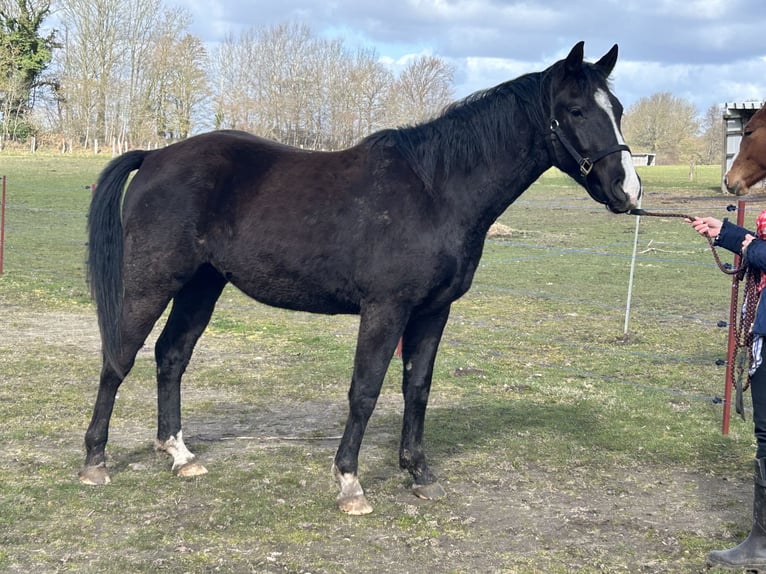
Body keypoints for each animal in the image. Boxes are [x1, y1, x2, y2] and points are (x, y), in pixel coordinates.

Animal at [80, 41, 642, 515]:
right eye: (576, 110)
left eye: (616, 110)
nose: (628, 190)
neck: (435, 191)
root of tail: (156, 156)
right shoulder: (385, 309)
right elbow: (365, 390)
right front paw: (350, 483)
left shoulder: (433, 311)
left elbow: (417, 387)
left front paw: (419, 473)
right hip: (152, 283)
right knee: (119, 357)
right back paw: (95, 462)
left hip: (202, 285)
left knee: (171, 356)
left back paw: (180, 454)